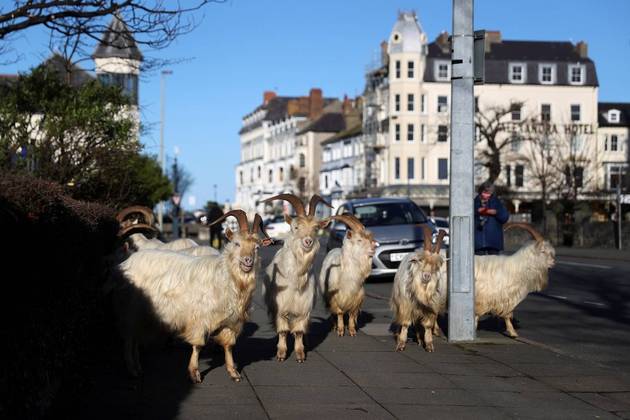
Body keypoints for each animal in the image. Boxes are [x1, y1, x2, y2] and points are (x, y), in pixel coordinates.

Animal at [117, 212, 270, 382]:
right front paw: (194, 373)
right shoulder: (200, 318)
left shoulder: (231, 321)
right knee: (130, 338)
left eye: (257, 247)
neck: (225, 276)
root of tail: (126, 262)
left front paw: (233, 372)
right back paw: (133, 369)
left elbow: (229, 345)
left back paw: (137, 367)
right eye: (236, 244)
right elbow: (198, 345)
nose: (248, 261)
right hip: (133, 309)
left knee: (134, 338)